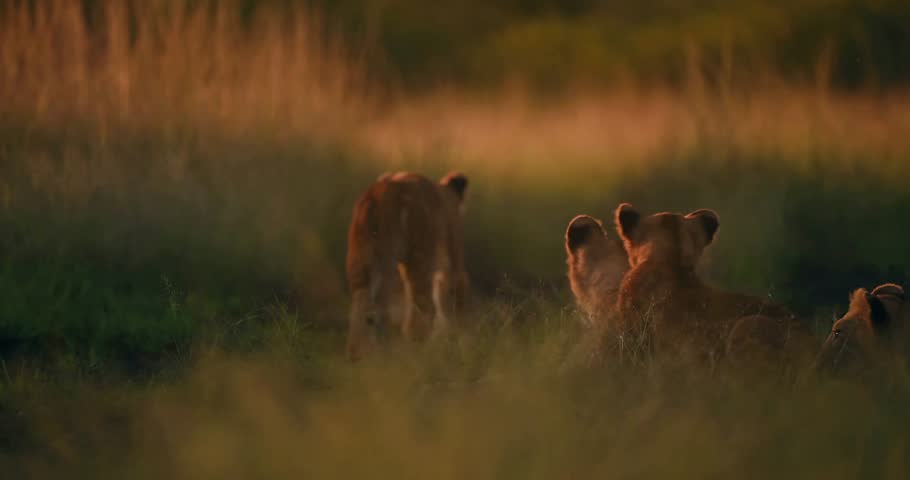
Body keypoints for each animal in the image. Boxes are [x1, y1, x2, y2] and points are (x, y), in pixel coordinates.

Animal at [345, 171, 469, 361]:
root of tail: (377, 194)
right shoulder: (452, 256)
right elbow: (452, 297)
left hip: (364, 259)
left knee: (365, 306)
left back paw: (359, 354)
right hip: (416, 259)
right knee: (421, 307)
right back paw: (417, 350)